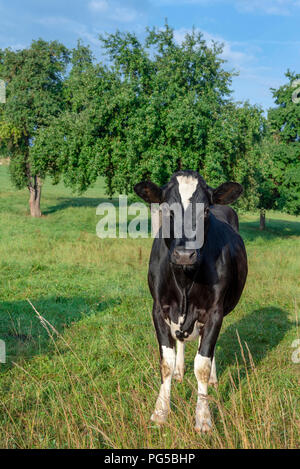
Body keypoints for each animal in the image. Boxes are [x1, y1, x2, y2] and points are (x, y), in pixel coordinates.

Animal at [135, 168, 247, 432]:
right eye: (166, 208)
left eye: (205, 211)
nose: (185, 254)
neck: (184, 280)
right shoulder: (159, 309)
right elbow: (166, 361)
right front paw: (160, 412)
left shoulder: (215, 311)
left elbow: (203, 365)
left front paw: (203, 417)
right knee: (181, 340)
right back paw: (179, 371)